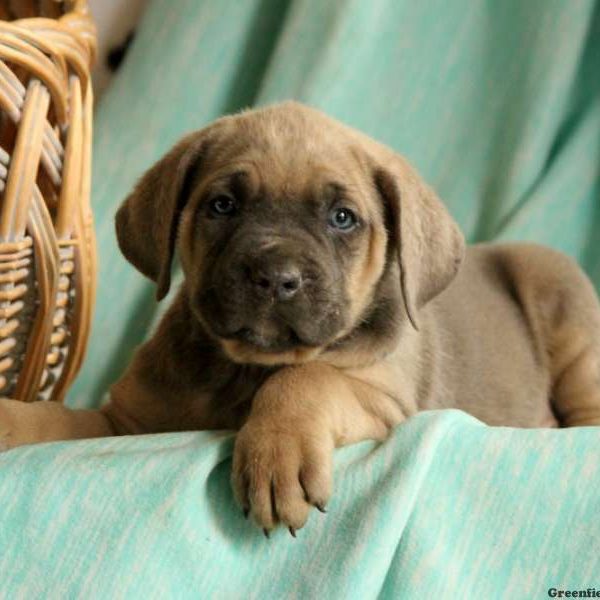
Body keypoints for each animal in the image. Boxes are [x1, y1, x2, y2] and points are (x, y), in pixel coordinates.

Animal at [1, 103, 600, 536]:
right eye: (222, 205)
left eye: (342, 218)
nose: (275, 276)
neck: (240, 370)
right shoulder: (124, 425)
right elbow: (54, 418)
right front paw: (14, 419)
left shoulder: (385, 401)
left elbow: (307, 377)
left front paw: (278, 452)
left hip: (559, 292)